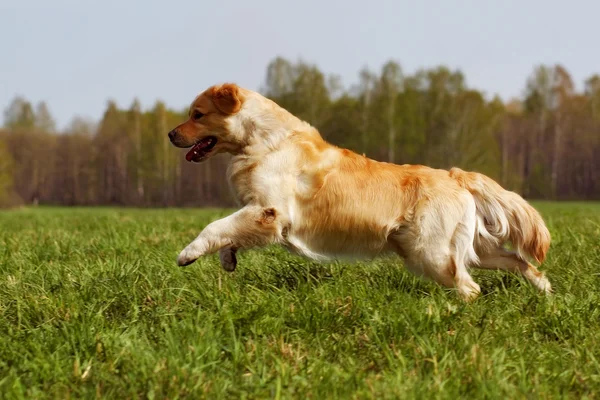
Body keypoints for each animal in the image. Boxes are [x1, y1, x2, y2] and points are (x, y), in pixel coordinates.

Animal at [166, 82, 552, 300]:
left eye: (197, 114)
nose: (170, 134)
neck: (263, 140)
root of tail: (455, 176)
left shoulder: (269, 211)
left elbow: (215, 226)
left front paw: (187, 253)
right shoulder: (257, 212)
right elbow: (229, 232)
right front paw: (227, 259)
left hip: (433, 254)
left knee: (471, 288)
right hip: (465, 249)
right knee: (520, 262)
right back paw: (546, 294)